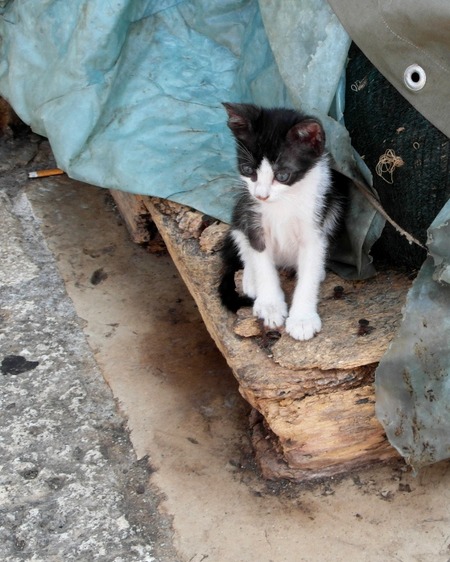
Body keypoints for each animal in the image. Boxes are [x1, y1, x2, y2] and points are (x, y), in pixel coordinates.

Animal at [218, 102, 348, 341]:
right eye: (248, 170)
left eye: (282, 176)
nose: (261, 195)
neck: (284, 202)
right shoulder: (254, 217)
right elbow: (261, 261)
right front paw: (271, 305)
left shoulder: (314, 226)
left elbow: (309, 272)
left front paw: (302, 319)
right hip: (241, 208)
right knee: (241, 239)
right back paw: (250, 279)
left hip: (333, 207)